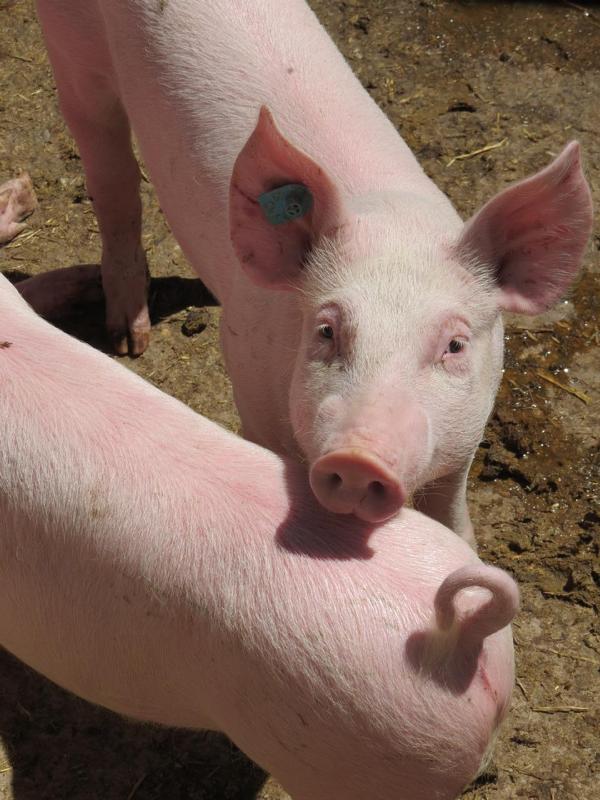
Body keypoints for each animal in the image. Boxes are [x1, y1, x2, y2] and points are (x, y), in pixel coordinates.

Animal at [34, 1, 596, 536]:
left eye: (455, 345)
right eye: (326, 331)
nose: (358, 458)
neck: (394, 220)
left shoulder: (466, 437)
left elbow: (453, 518)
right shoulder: (246, 374)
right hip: (73, 53)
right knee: (111, 177)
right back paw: (129, 340)